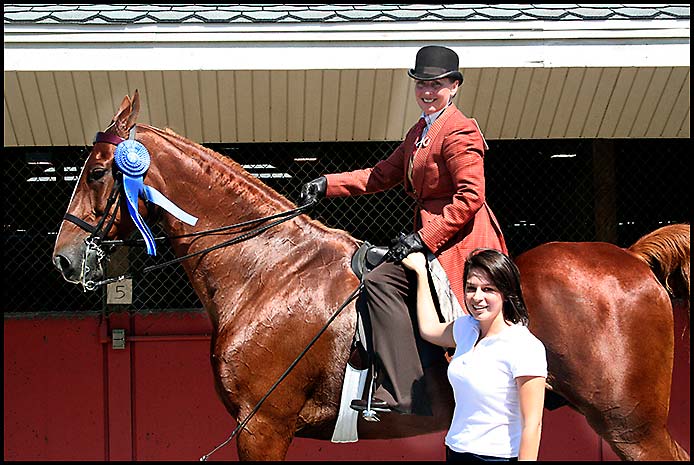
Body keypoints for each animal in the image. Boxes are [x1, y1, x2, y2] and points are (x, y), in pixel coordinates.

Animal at [51, 92, 688, 458]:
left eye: (100, 170)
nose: (64, 258)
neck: (266, 269)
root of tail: (632, 258)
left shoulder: (262, 427)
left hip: (630, 425)